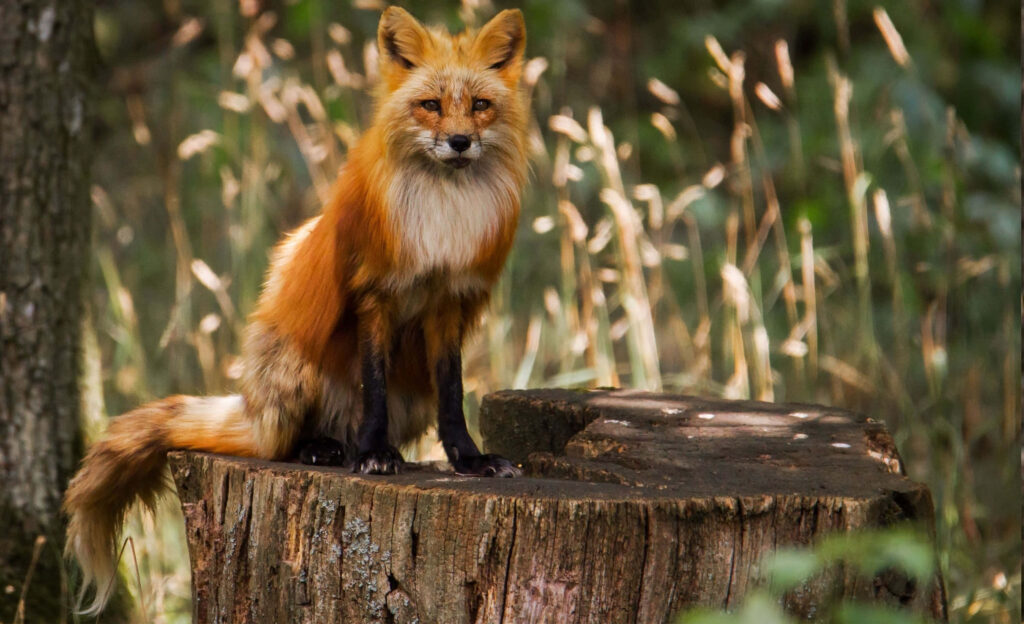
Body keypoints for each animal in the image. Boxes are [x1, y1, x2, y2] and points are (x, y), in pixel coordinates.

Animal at [63, 6, 529, 615]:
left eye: (479, 105)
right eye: (430, 104)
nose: (458, 142)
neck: (442, 213)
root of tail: (250, 405)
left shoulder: (449, 303)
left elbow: (454, 396)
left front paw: (469, 462)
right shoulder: (373, 293)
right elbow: (373, 388)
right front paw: (374, 455)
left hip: (412, 398)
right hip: (294, 373)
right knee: (281, 445)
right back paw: (323, 449)